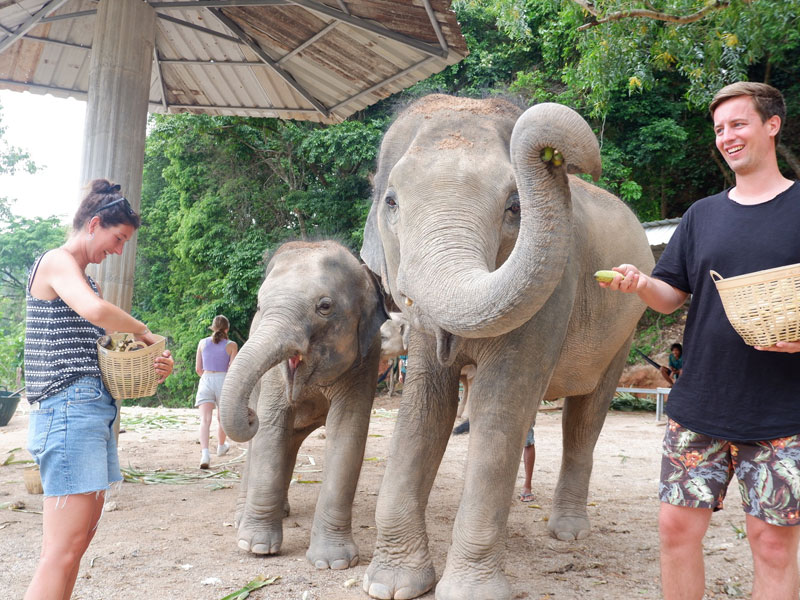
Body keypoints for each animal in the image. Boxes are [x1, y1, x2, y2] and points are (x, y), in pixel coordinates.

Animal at [219, 239, 388, 568]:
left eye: (325, 306)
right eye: (259, 305)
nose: (250, 415)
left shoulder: (367, 359)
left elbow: (348, 432)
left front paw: (333, 564)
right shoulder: (274, 376)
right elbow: (271, 427)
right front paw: (257, 548)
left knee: (290, 442)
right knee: (266, 441)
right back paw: (243, 519)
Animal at [360, 96, 652, 596]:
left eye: (515, 205)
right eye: (391, 201)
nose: (566, 161)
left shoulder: (556, 291)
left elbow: (501, 407)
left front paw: (469, 593)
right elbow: (425, 409)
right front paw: (391, 585)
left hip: (625, 328)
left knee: (586, 415)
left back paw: (568, 533)